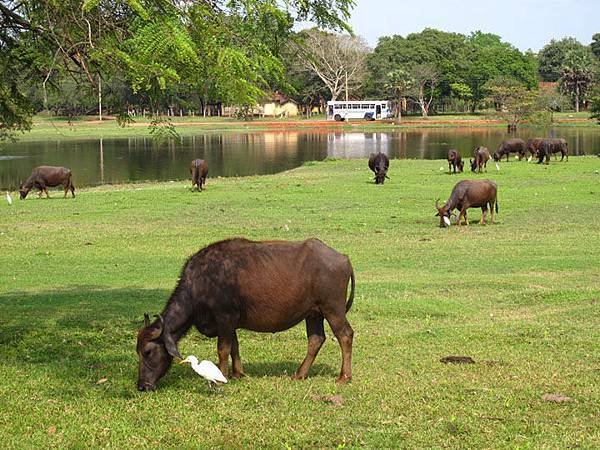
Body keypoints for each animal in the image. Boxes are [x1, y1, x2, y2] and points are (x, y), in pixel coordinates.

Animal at [135, 239, 356, 390]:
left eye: (148, 352)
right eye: (137, 352)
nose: (142, 386)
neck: (200, 283)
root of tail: (344, 258)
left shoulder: (224, 317)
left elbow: (223, 349)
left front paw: (222, 376)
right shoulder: (230, 322)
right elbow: (235, 346)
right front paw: (238, 373)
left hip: (333, 309)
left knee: (345, 335)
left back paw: (344, 377)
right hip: (313, 314)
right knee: (316, 339)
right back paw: (300, 374)